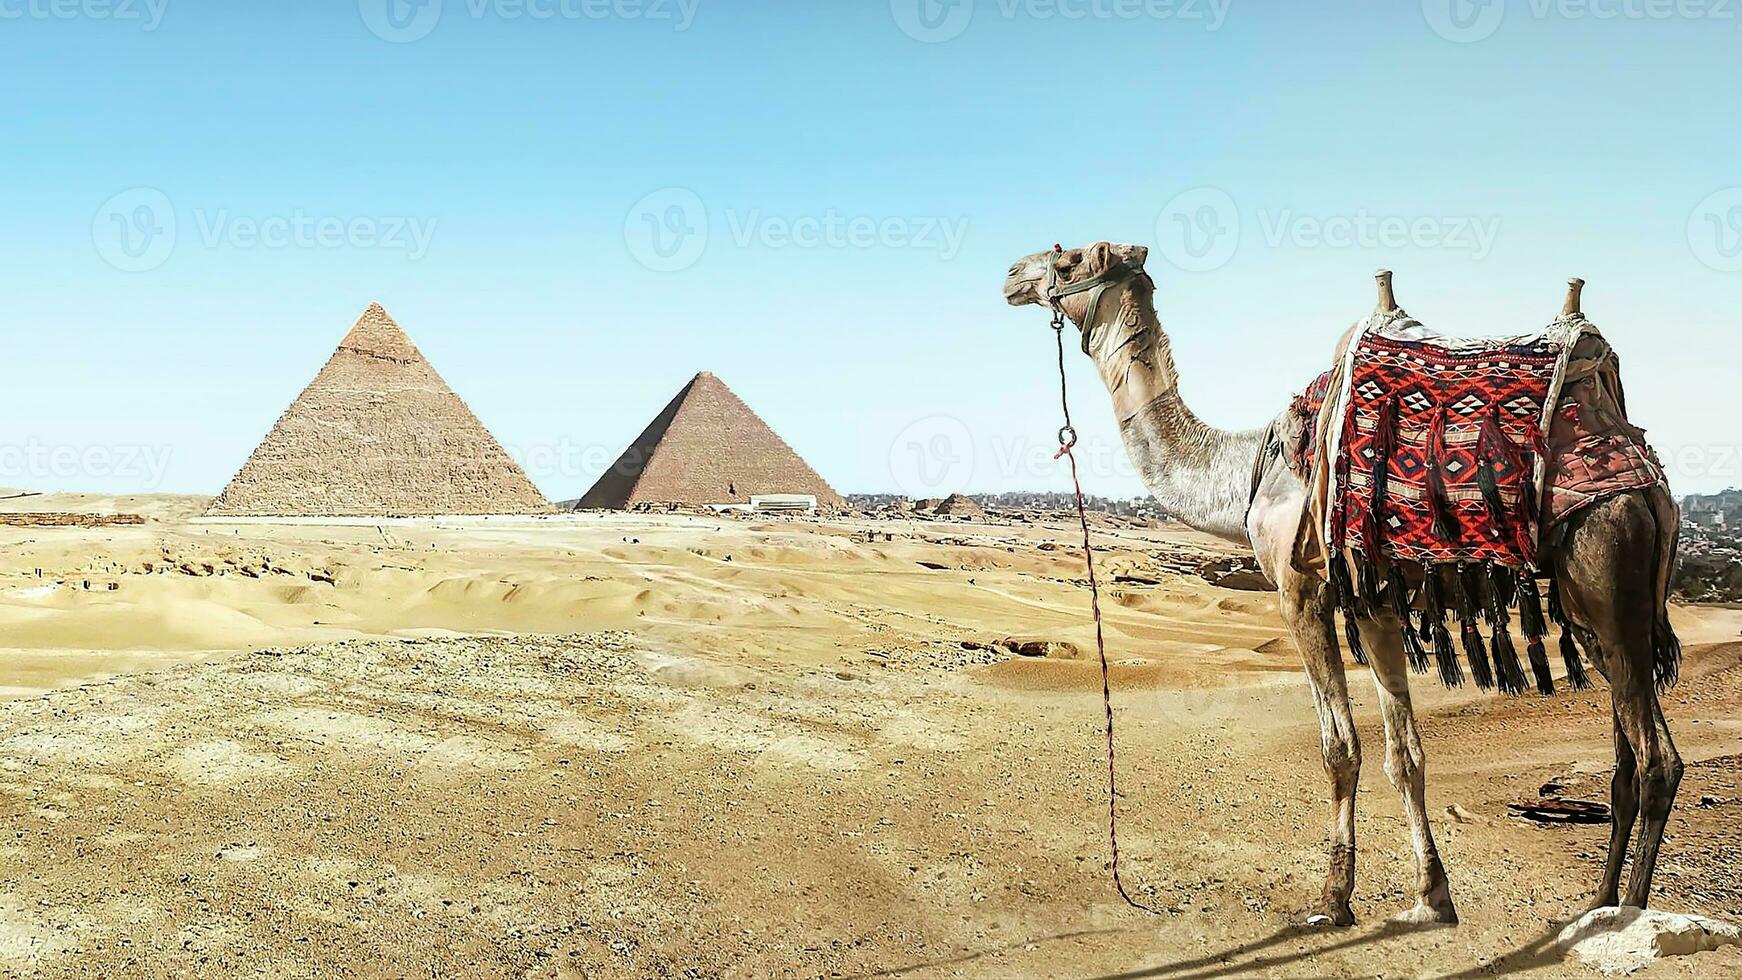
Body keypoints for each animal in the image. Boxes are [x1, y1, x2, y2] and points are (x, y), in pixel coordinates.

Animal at [1010, 241, 1686, 926]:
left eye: (1067, 260)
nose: (1014, 275)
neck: (1248, 470)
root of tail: (1648, 485)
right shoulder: (1373, 603)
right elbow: (1405, 755)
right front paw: (1432, 896)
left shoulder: (1298, 588)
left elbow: (1340, 748)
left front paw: (1333, 901)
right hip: (1593, 611)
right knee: (1625, 762)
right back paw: (1595, 907)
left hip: (1609, 566)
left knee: (1659, 761)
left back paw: (1631, 912)